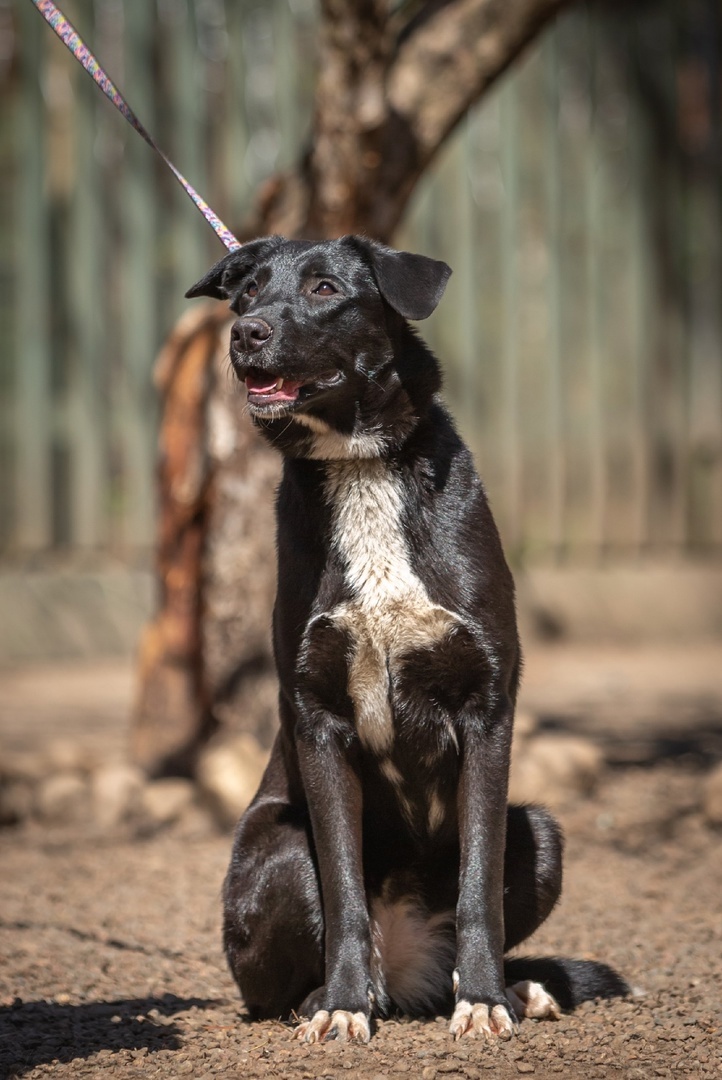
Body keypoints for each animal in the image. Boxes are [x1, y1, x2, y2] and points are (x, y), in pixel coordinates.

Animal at [184, 232, 625, 1041]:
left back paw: (515, 988)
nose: (244, 334)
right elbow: (343, 886)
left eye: (325, 288)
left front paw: (483, 998)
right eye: (247, 292)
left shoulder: (486, 710)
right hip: (276, 846)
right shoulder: (319, 720)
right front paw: (343, 1006)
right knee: (278, 982)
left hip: (540, 830)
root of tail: (406, 969)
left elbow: (479, 881)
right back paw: (327, 999)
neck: (359, 467)